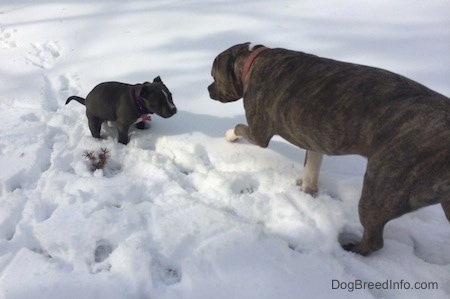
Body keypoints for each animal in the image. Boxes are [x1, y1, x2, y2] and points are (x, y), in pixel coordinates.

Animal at [207, 42, 450, 256]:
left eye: (213, 76)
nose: (208, 88)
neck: (252, 60)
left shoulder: (259, 133)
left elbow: (239, 127)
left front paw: (229, 135)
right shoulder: (314, 141)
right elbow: (310, 170)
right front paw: (307, 192)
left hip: (380, 188)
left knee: (374, 240)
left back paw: (353, 249)